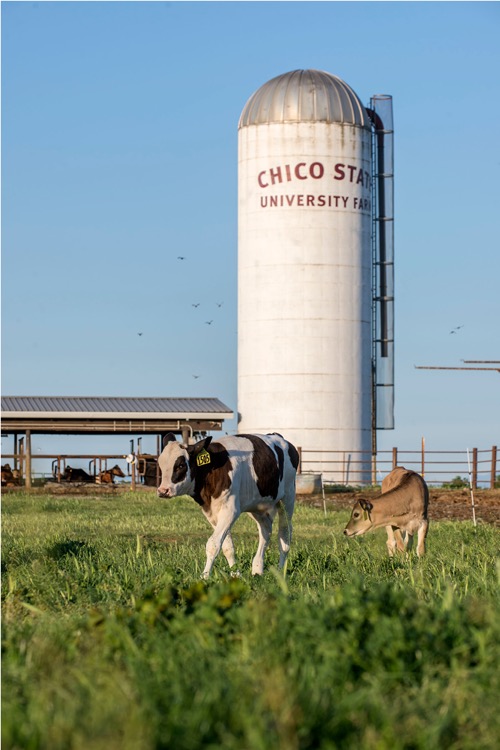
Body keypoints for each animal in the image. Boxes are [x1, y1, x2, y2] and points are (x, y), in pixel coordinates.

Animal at [157, 432, 296, 580]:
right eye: (160, 463)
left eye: (181, 465)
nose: (163, 490)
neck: (213, 469)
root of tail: (277, 436)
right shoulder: (212, 514)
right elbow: (227, 547)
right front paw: (235, 574)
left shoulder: (230, 510)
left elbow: (213, 544)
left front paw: (205, 576)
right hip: (257, 507)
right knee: (266, 531)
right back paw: (257, 569)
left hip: (287, 499)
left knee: (284, 536)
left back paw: (281, 572)